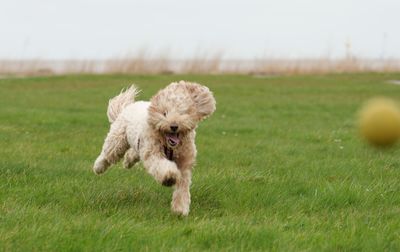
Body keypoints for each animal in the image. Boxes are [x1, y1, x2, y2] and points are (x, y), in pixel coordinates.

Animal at [93, 80, 216, 215]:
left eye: (182, 113)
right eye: (164, 113)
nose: (174, 126)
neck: (170, 146)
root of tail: (127, 107)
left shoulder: (184, 163)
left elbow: (182, 187)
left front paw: (180, 209)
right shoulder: (153, 152)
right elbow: (161, 165)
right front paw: (169, 177)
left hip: (138, 144)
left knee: (132, 153)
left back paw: (127, 162)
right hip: (118, 139)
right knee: (108, 154)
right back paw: (98, 167)